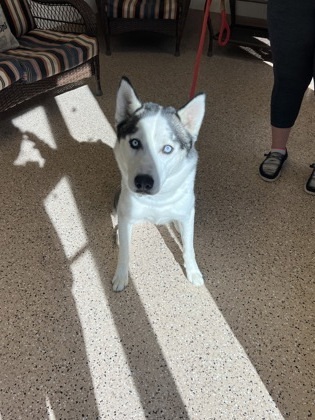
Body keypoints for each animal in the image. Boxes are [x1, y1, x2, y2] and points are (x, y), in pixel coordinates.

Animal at [112, 77, 206, 290]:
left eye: (167, 148)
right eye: (135, 142)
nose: (143, 182)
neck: (158, 200)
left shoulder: (188, 214)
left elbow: (189, 248)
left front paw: (193, 271)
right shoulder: (127, 213)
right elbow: (124, 252)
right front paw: (121, 275)